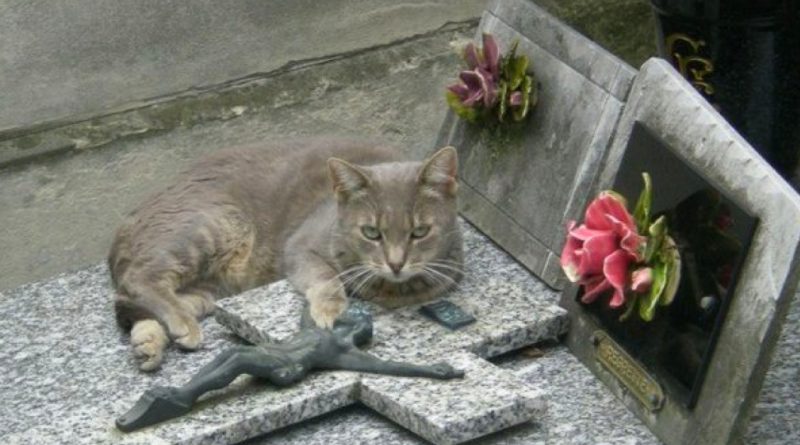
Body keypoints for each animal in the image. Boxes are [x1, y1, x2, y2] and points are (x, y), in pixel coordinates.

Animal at [109, 138, 466, 368]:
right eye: (371, 233)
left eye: (419, 232)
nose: (395, 263)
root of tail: (126, 223)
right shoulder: (300, 246)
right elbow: (326, 278)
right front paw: (329, 312)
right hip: (214, 225)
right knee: (139, 279)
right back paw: (180, 328)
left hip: (211, 288)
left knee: (129, 302)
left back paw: (149, 343)